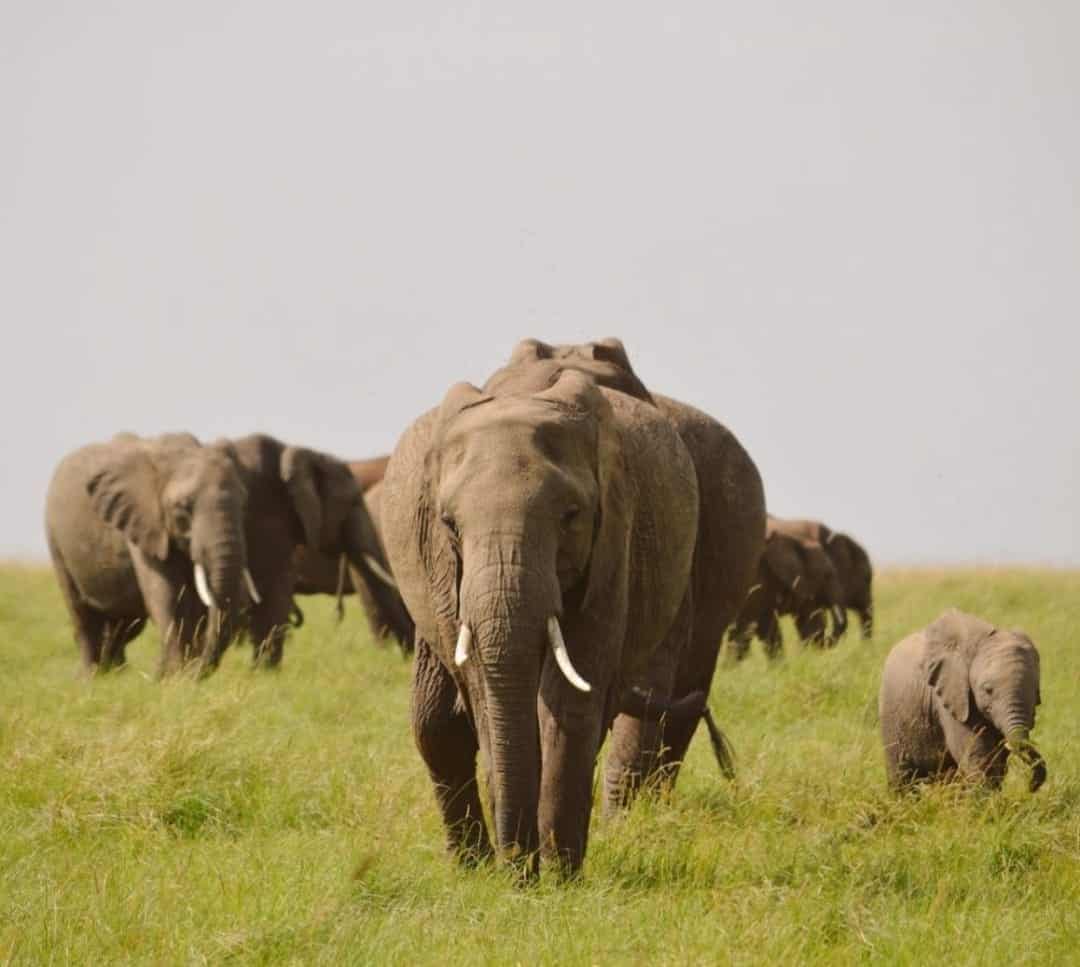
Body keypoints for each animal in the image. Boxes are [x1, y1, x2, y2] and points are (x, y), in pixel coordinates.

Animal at [48, 434, 257, 678]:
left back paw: (115, 675)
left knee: (125, 624)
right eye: (183, 507)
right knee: (82, 615)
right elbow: (165, 595)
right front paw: (178, 677)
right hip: (56, 539)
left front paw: (179, 674)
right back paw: (91, 678)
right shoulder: (145, 521)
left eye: (243, 503)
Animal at [380, 363, 699, 877]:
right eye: (449, 523)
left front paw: (559, 877)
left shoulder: (615, 542)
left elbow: (569, 701)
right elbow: (484, 699)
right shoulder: (444, 571)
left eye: (571, 516)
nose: (518, 868)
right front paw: (520, 875)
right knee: (434, 725)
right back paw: (471, 867)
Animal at [876, 613, 1045, 795]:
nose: (1030, 787)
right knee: (902, 777)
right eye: (988, 690)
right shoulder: (951, 698)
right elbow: (976, 757)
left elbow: (996, 763)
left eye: (1036, 690)